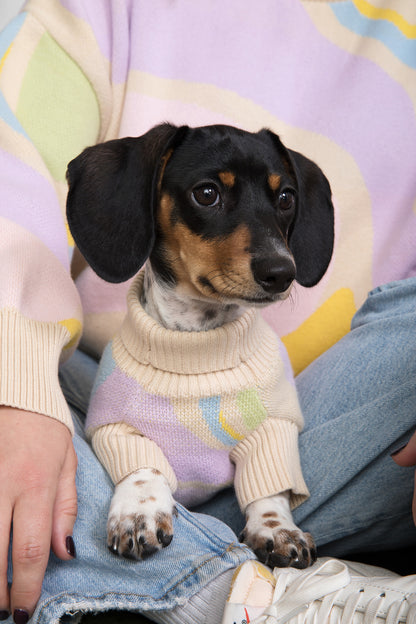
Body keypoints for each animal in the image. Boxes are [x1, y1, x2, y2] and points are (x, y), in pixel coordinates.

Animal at [68, 123, 334, 572]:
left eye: (285, 198)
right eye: (207, 193)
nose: (282, 272)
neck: (196, 344)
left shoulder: (273, 431)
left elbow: (269, 488)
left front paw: (277, 528)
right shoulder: (116, 428)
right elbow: (144, 470)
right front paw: (139, 511)